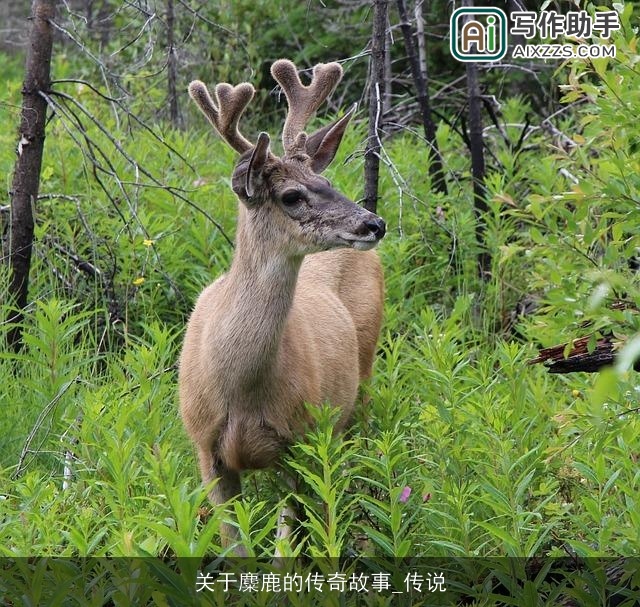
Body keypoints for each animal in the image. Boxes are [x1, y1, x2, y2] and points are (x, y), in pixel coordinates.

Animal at [178, 58, 385, 556]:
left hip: (364, 373)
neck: (240, 388)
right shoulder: (206, 449)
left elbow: (286, 547)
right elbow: (237, 548)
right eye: (292, 196)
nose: (374, 223)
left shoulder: (302, 437)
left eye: (327, 182)